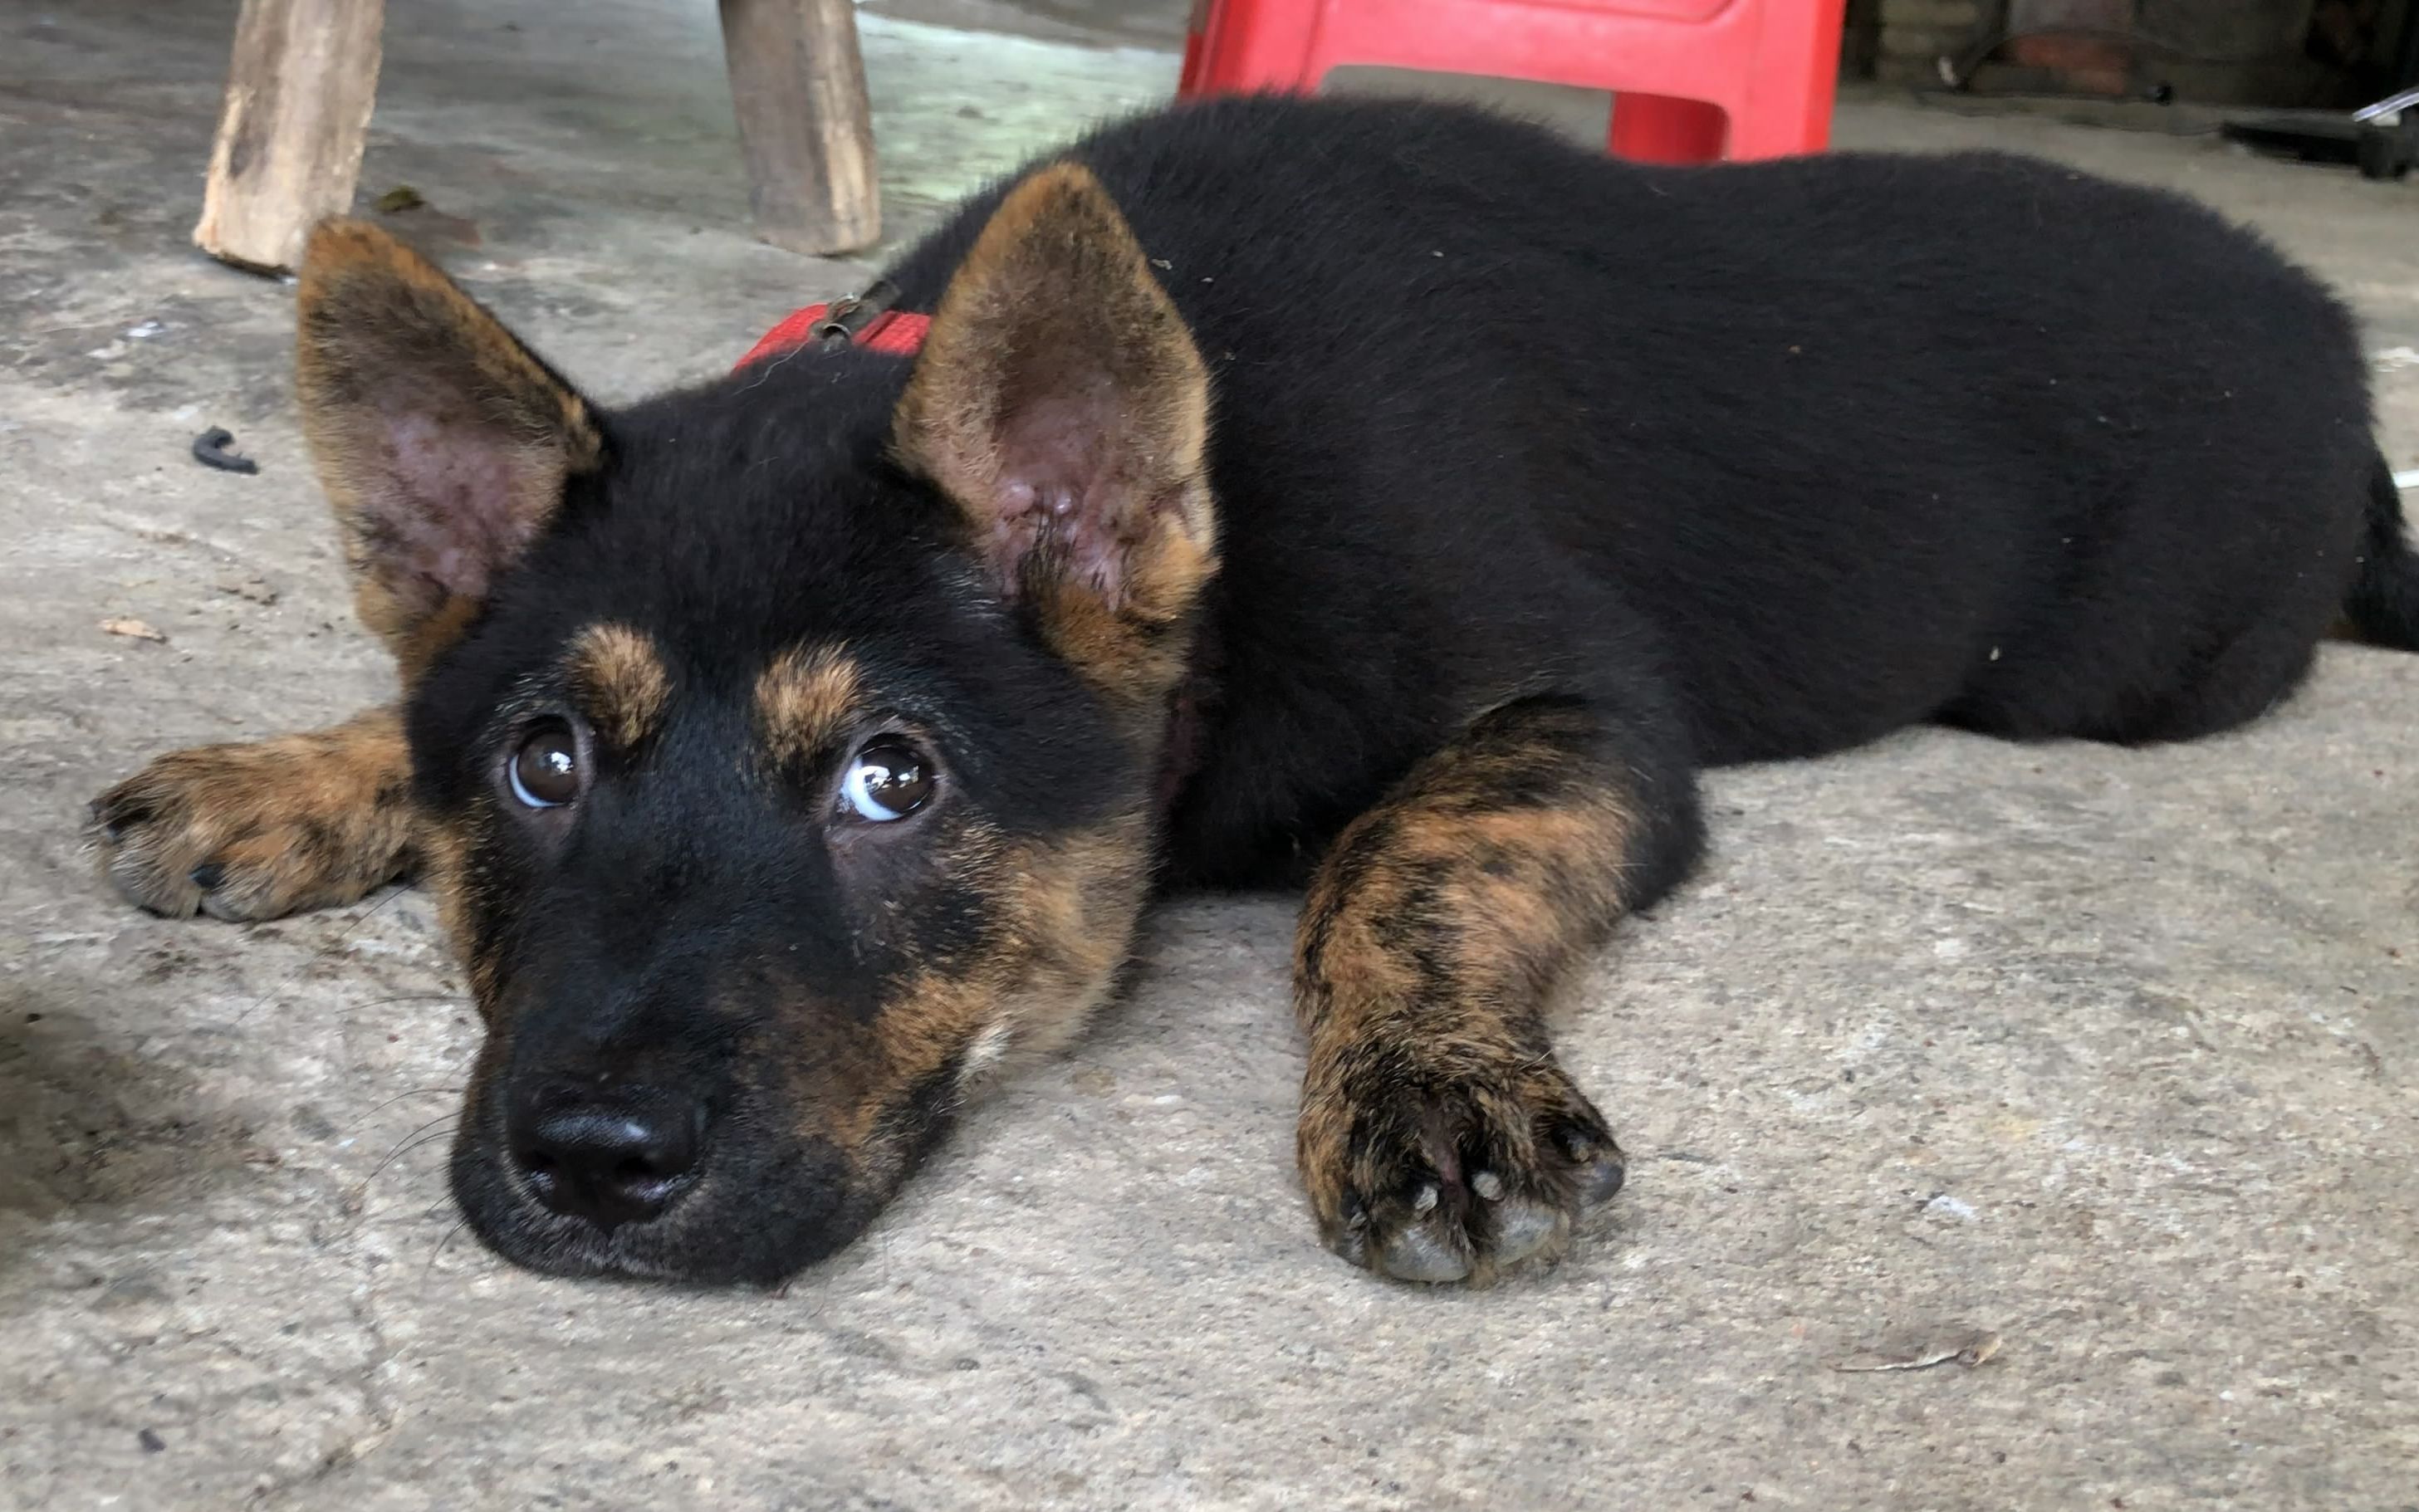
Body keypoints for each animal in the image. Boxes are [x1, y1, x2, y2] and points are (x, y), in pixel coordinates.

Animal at [89, 94, 2419, 1277]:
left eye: (893, 783)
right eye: (542, 760)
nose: (585, 1168)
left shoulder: (1581, 712)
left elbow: (1403, 855)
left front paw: (1432, 1085)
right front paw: (284, 773)